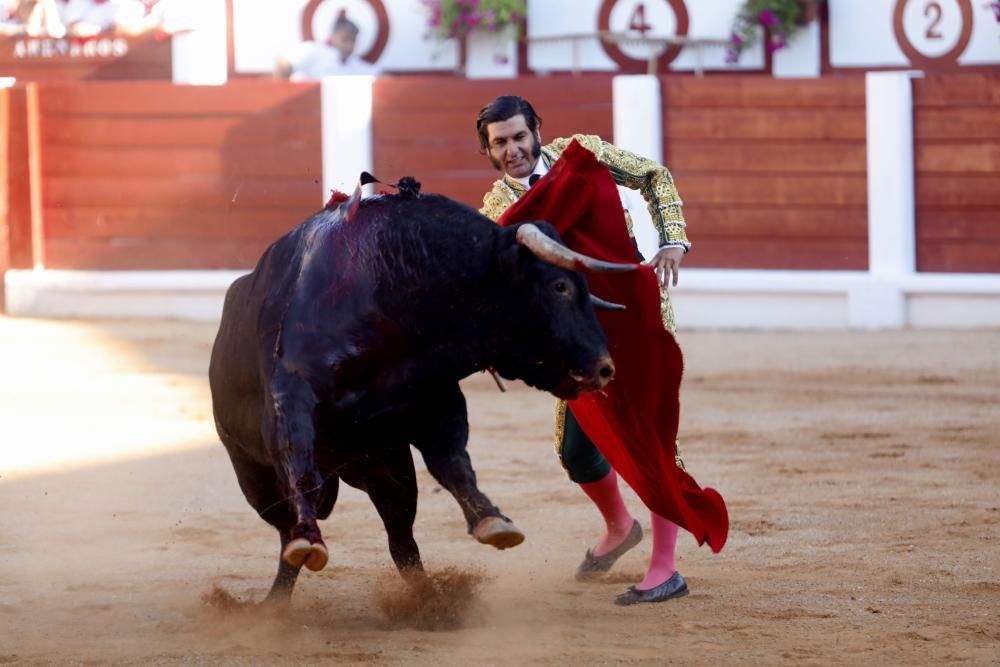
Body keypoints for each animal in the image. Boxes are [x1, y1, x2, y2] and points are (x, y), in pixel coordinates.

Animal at [208, 179, 636, 604]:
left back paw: (428, 601)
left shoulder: (435, 401)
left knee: (401, 538)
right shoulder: (291, 395)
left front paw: (492, 520)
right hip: (254, 477)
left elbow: (453, 464)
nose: (605, 369)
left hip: (385, 467)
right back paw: (279, 595)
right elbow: (298, 461)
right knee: (286, 533)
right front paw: (309, 538)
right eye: (559, 286)